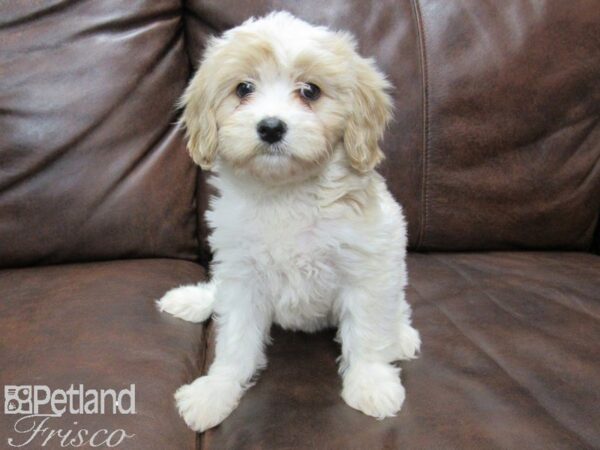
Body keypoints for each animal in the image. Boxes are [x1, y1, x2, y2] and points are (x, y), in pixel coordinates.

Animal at [159, 11, 422, 432]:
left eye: (310, 91)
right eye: (243, 88)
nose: (270, 127)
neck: (285, 192)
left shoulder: (366, 266)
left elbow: (367, 331)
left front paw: (371, 384)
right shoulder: (242, 274)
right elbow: (234, 340)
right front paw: (216, 390)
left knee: (394, 307)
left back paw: (400, 334)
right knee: (217, 293)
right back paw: (194, 299)